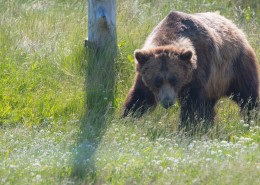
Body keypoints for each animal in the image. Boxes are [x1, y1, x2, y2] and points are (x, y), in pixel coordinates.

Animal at [122, 11, 260, 130]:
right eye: (157, 81)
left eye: (174, 80)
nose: (167, 101)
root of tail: (234, 26)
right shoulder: (144, 75)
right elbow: (140, 98)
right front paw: (126, 119)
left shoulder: (198, 71)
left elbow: (192, 106)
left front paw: (187, 128)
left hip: (235, 68)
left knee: (247, 96)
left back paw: (251, 119)